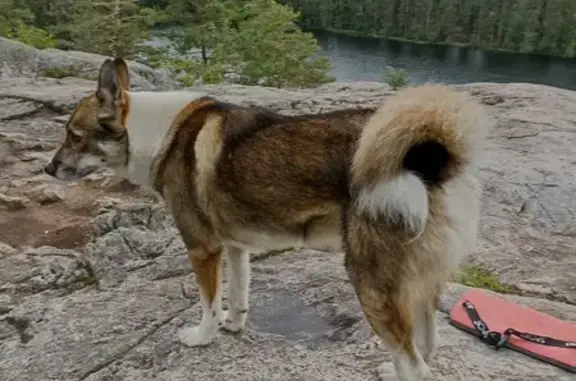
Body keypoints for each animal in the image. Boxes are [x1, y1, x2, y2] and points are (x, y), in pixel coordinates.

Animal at [44, 57, 486, 380]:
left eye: (73, 135)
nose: (48, 168)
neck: (154, 134)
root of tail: (429, 158)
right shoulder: (235, 248)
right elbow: (238, 297)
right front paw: (233, 327)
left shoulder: (202, 249)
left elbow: (208, 304)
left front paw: (202, 337)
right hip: (418, 283)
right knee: (426, 346)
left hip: (371, 282)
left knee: (415, 364)